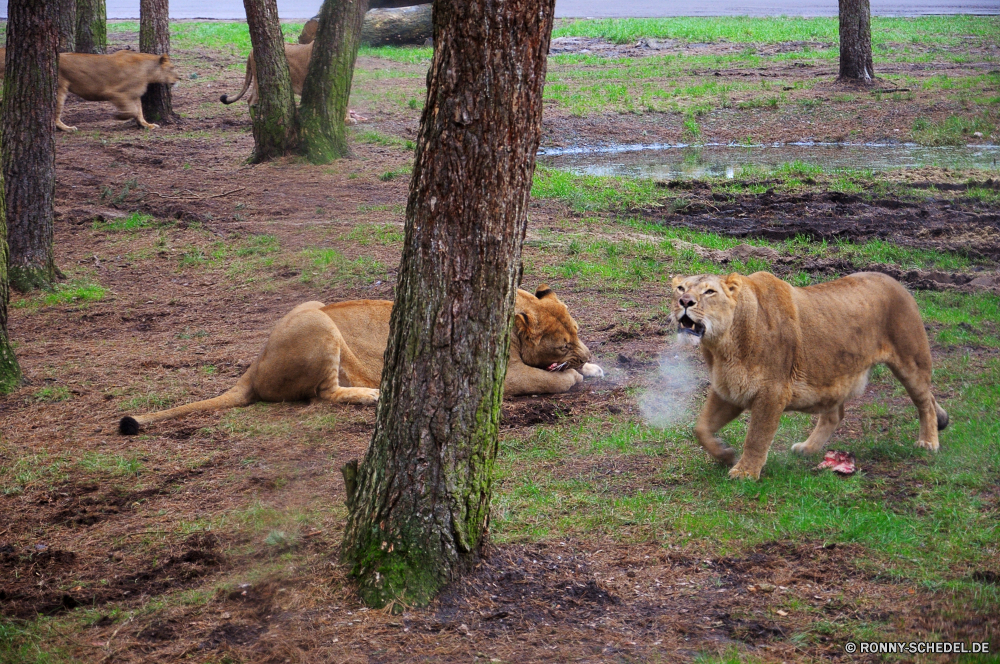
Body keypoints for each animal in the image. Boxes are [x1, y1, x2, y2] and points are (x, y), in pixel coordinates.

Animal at [117, 286, 600, 436]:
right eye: (562, 344)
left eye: (577, 332)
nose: (587, 353)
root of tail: (254, 363)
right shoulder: (505, 375)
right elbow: (550, 380)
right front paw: (576, 376)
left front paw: (594, 367)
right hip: (318, 326)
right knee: (322, 394)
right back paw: (373, 395)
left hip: (312, 305)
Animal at [672, 272, 944, 480]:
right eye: (680, 288)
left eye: (709, 292)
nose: (684, 301)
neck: (723, 347)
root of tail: (895, 281)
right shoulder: (728, 390)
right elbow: (701, 428)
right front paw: (725, 454)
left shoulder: (772, 392)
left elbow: (757, 437)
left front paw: (745, 472)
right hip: (833, 374)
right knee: (835, 414)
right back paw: (808, 448)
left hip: (911, 361)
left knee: (927, 401)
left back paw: (929, 442)